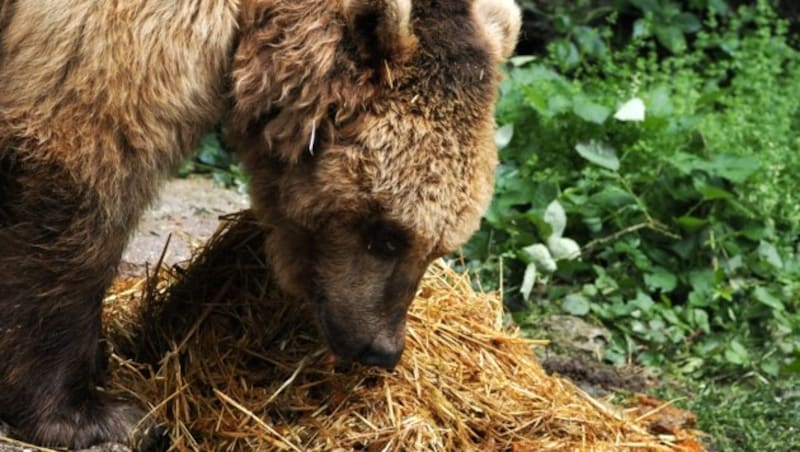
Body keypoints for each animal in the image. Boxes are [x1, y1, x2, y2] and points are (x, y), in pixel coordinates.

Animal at [0, 0, 520, 448]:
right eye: (387, 235)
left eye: (439, 248)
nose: (381, 350)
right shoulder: (109, 39)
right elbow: (80, 172)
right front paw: (93, 415)